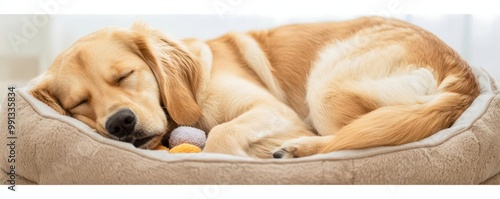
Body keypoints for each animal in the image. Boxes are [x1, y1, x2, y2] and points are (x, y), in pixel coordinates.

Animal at [30, 16, 480, 159]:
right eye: (80, 103)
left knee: (344, 138)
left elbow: (223, 134)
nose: (120, 123)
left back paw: (296, 149)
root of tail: (464, 73)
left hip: (326, 88)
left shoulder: (276, 112)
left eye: (124, 75)